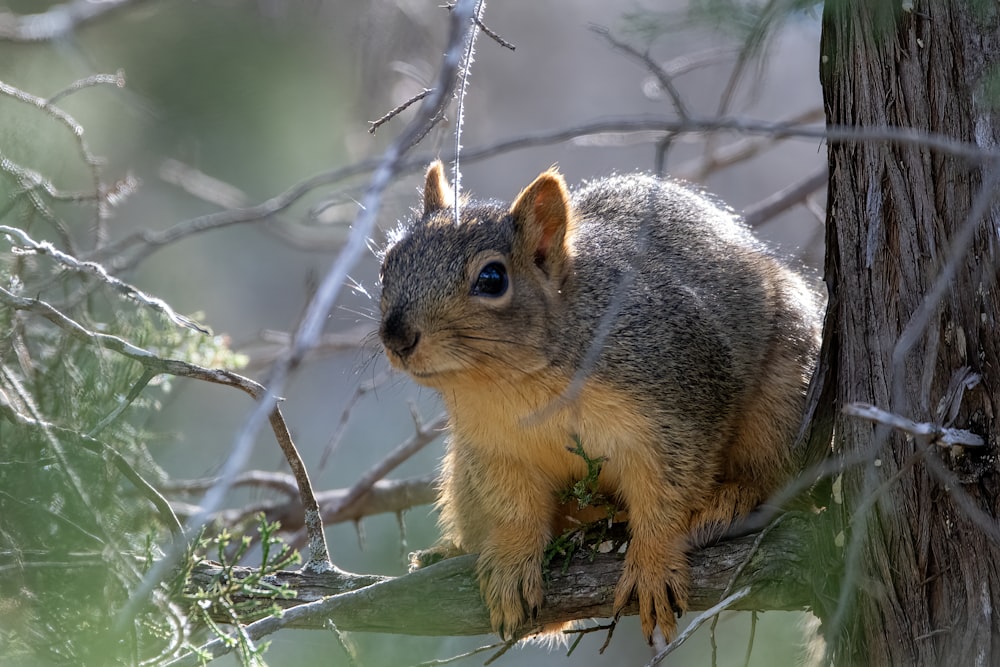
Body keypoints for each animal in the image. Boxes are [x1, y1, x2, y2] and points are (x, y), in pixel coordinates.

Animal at [376, 159, 820, 644]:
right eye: (387, 265)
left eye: (492, 279)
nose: (397, 336)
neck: (517, 385)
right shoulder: (493, 448)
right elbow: (512, 509)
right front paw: (511, 561)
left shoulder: (682, 402)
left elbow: (669, 496)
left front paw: (654, 562)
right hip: (459, 472)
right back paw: (451, 550)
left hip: (784, 397)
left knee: (776, 476)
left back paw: (732, 499)